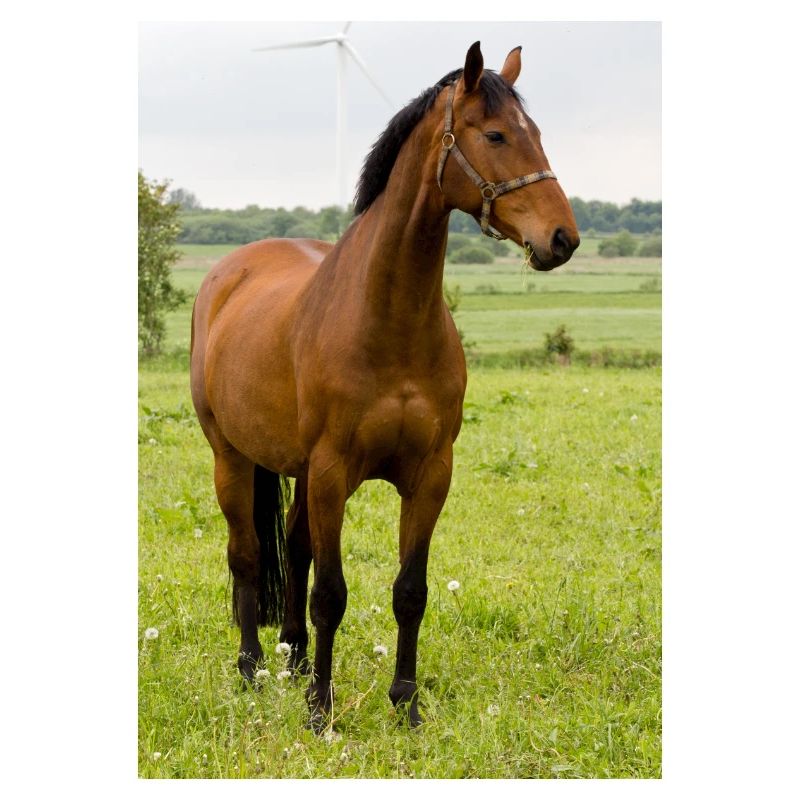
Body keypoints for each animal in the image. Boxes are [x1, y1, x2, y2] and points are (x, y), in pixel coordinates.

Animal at [190, 41, 579, 731]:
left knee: (295, 550)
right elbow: (331, 593)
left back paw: (293, 659)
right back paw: (252, 668)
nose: (562, 238)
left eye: (536, 133)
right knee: (248, 555)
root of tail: (227, 273)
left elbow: (409, 591)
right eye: (497, 135)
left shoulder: (430, 474)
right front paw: (321, 710)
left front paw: (405, 703)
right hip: (231, 458)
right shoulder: (332, 472)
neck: (389, 320)